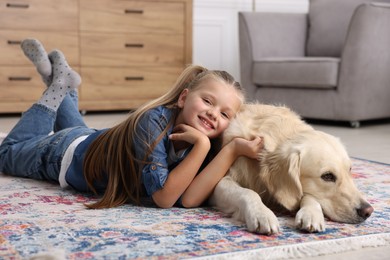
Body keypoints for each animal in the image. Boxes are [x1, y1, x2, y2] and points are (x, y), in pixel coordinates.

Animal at [209, 103, 374, 236]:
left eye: (350, 170)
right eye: (327, 176)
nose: (368, 211)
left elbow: (309, 196)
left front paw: (311, 214)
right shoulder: (220, 185)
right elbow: (248, 192)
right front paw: (262, 214)